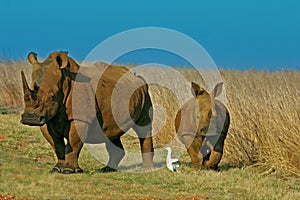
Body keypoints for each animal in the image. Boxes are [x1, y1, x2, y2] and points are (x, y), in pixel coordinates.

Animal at [20, 51, 155, 173]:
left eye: (52, 97)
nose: (30, 118)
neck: (64, 80)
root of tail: (136, 77)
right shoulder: (47, 118)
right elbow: (57, 144)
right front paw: (57, 168)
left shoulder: (81, 118)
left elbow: (73, 143)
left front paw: (68, 170)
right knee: (111, 131)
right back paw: (107, 170)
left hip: (144, 91)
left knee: (143, 127)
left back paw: (147, 169)